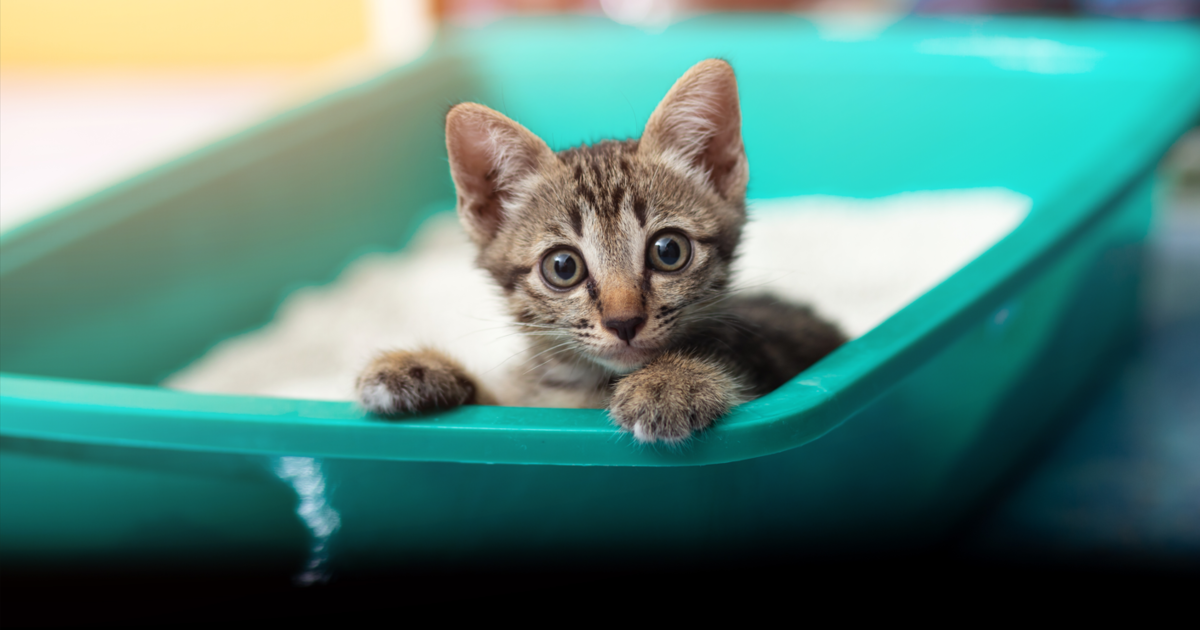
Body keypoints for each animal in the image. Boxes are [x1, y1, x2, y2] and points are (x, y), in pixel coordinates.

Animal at [355, 58, 844, 441]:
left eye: (669, 251)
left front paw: (672, 381)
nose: (623, 322)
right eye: (563, 266)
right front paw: (419, 369)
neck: (590, 388)